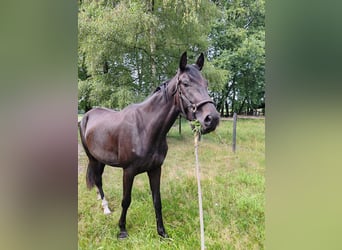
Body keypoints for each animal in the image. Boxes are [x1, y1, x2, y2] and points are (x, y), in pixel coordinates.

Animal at [79, 51, 220, 239]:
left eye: (206, 83)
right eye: (185, 83)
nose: (212, 119)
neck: (145, 128)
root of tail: (86, 116)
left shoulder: (155, 169)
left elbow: (157, 200)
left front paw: (162, 232)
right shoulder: (128, 171)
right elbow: (126, 200)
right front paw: (122, 229)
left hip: (100, 159)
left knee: (97, 178)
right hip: (92, 158)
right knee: (98, 179)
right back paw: (106, 207)